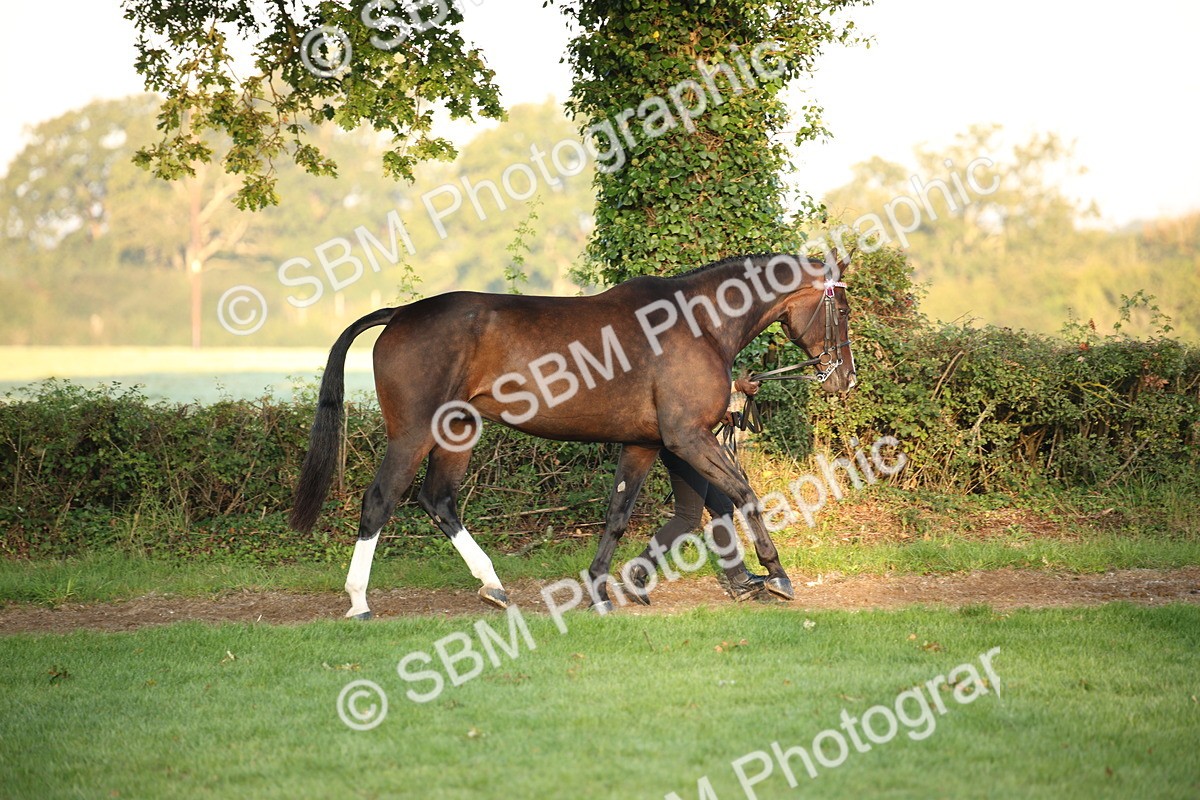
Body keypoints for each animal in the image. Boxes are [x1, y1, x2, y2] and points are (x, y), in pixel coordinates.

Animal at [288, 253, 856, 618]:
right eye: (844, 310)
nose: (845, 378)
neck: (698, 323)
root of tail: (401, 313)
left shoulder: (648, 443)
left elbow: (621, 514)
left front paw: (605, 589)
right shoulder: (689, 438)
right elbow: (743, 493)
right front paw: (776, 575)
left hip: (457, 433)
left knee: (439, 501)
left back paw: (494, 587)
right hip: (413, 435)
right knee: (380, 501)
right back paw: (359, 601)